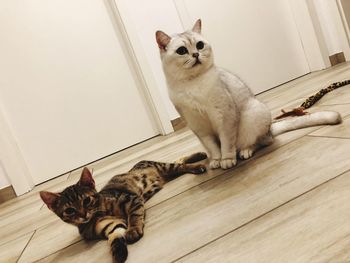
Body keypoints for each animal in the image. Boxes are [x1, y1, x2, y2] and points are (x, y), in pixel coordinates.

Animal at [157, 19, 342, 170]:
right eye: (182, 50)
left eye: (200, 45)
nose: (196, 54)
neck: (192, 84)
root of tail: (270, 128)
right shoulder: (199, 126)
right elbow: (213, 148)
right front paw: (216, 161)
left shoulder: (225, 117)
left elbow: (226, 144)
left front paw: (227, 160)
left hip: (253, 116)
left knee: (261, 142)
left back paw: (245, 151)